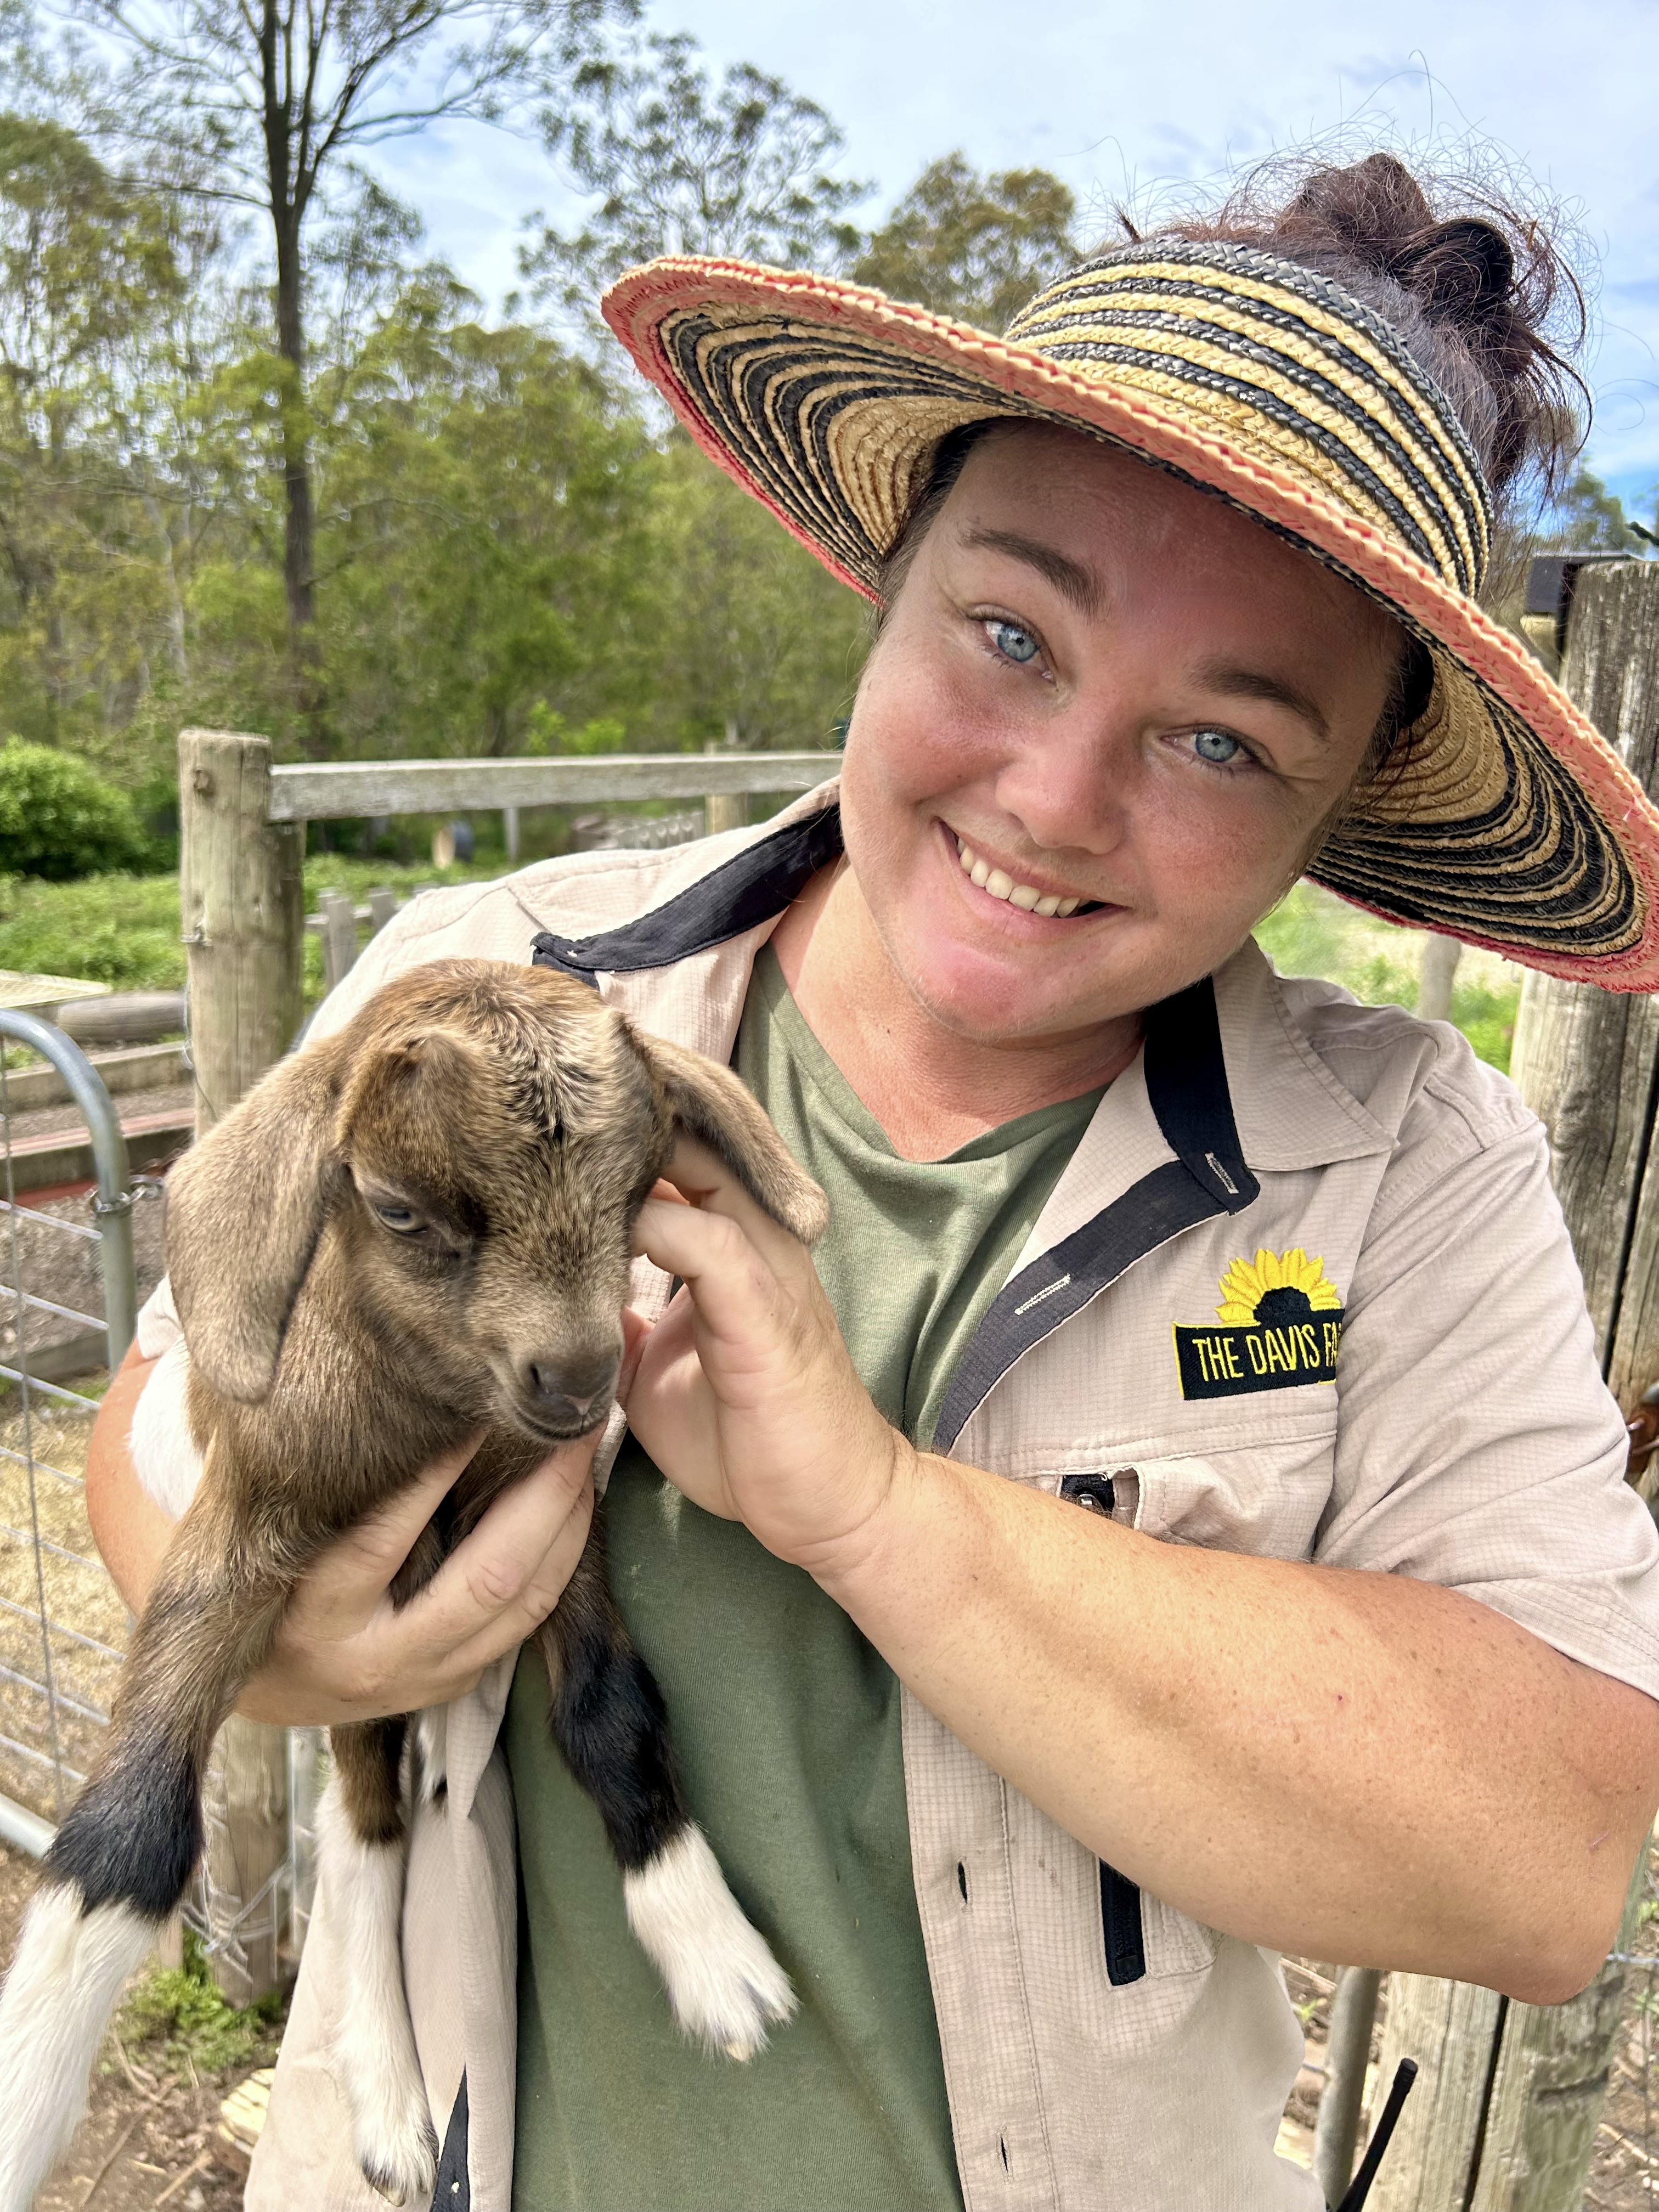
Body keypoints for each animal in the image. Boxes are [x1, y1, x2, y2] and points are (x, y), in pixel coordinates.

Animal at [0, 958, 828, 2210]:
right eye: (398, 1210)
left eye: (641, 1188)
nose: (578, 1381)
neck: (429, 1419)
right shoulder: (238, 1541)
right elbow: (129, 1827)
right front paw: (24, 2101)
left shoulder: (550, 1519)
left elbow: (610, 1713)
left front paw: (709, 1948)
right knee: (360, 1834)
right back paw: (391, 2105)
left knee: (362, 1830)